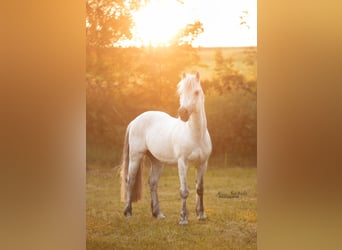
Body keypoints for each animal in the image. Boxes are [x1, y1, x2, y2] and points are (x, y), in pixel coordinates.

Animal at [120, 72, 211, 225]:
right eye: (181, 92)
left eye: (196, 92)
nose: (183, 113)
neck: (195, 135)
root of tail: (135, 121)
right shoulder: (183, 163)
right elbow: (184, 191)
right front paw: (183, 219)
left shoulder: (202, 164)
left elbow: (200, 189)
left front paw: (201, 215)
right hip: (135, 156)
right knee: (130, 181)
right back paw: (128, 212)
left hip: (157, 161)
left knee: (153, 183)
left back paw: (158, 214)